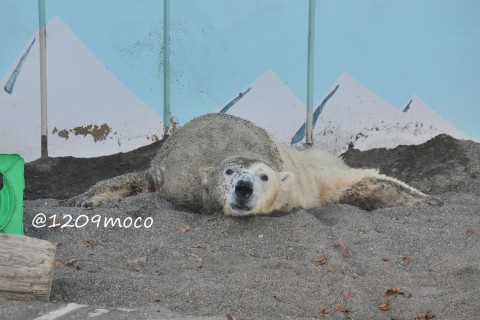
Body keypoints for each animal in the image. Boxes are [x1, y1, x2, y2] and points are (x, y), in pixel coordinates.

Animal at [64, 114, 442, 216]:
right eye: (229, 173)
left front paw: (425, 198)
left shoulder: (303, 185)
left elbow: (356, 183)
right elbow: (141, 180)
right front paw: (83, 199)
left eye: (263, 176)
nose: (243, 189)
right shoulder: (176, 178)